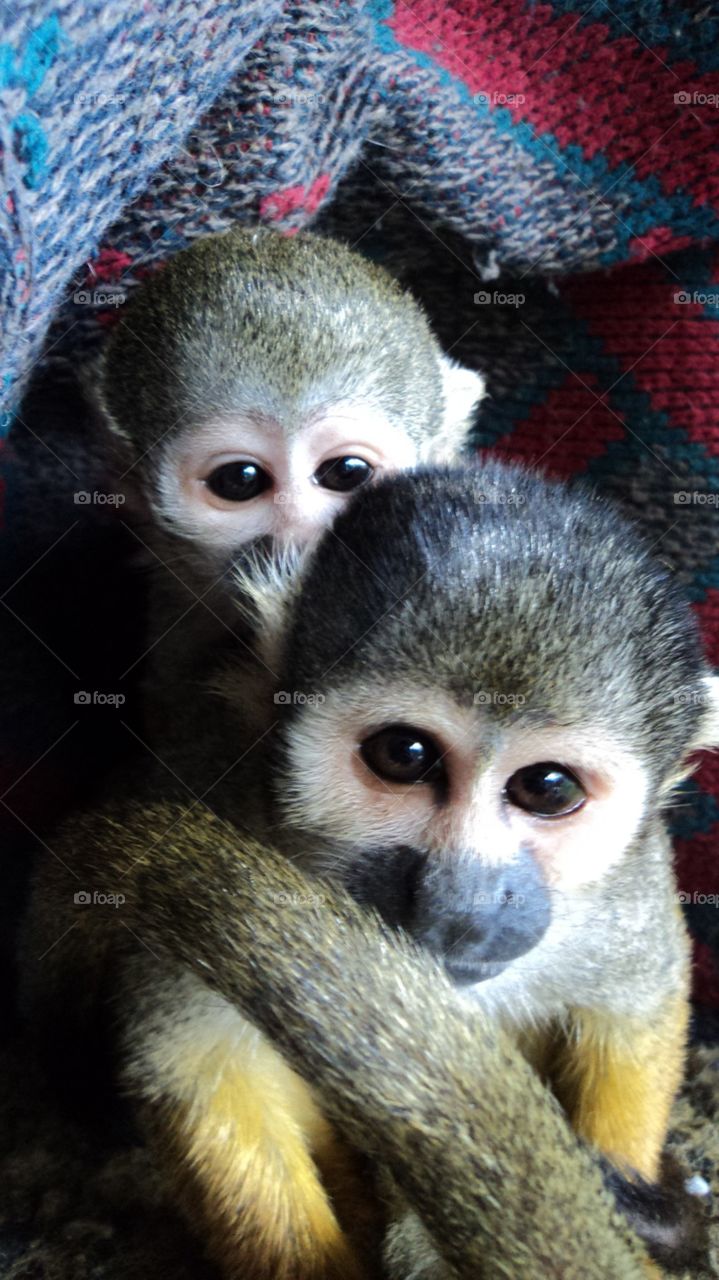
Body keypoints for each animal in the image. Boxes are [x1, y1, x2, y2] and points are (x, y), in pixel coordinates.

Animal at [19, 461, 718, 1278]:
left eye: (547, 788)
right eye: (403, 755)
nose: (461, 903)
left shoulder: (630, 879)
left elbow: (635, 1007)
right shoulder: (223, 788)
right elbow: (202, 1065)